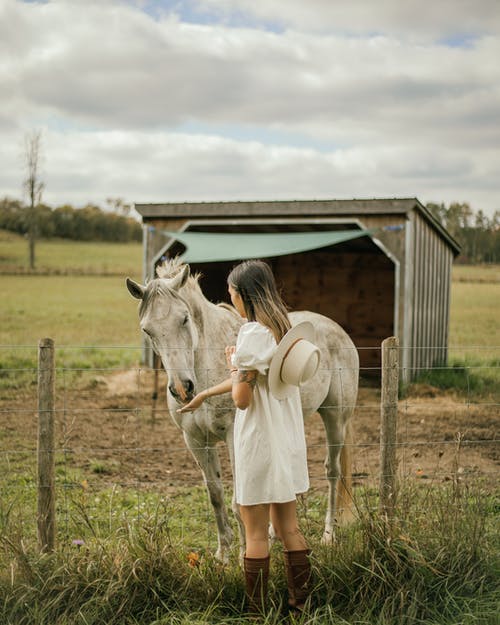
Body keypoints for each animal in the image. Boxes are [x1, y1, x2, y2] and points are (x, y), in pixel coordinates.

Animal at [127, 256, 358, 560]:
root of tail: (336, 329)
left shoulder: (232, 436)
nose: (182, 389)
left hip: (335, 418)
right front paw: (222, 556)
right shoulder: (195, 440)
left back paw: (329, 535)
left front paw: (242, 555)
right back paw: (274, 534)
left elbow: (239, 501)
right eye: (147, 329)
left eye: (184, 318)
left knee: (333, 472)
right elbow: (215, 496)